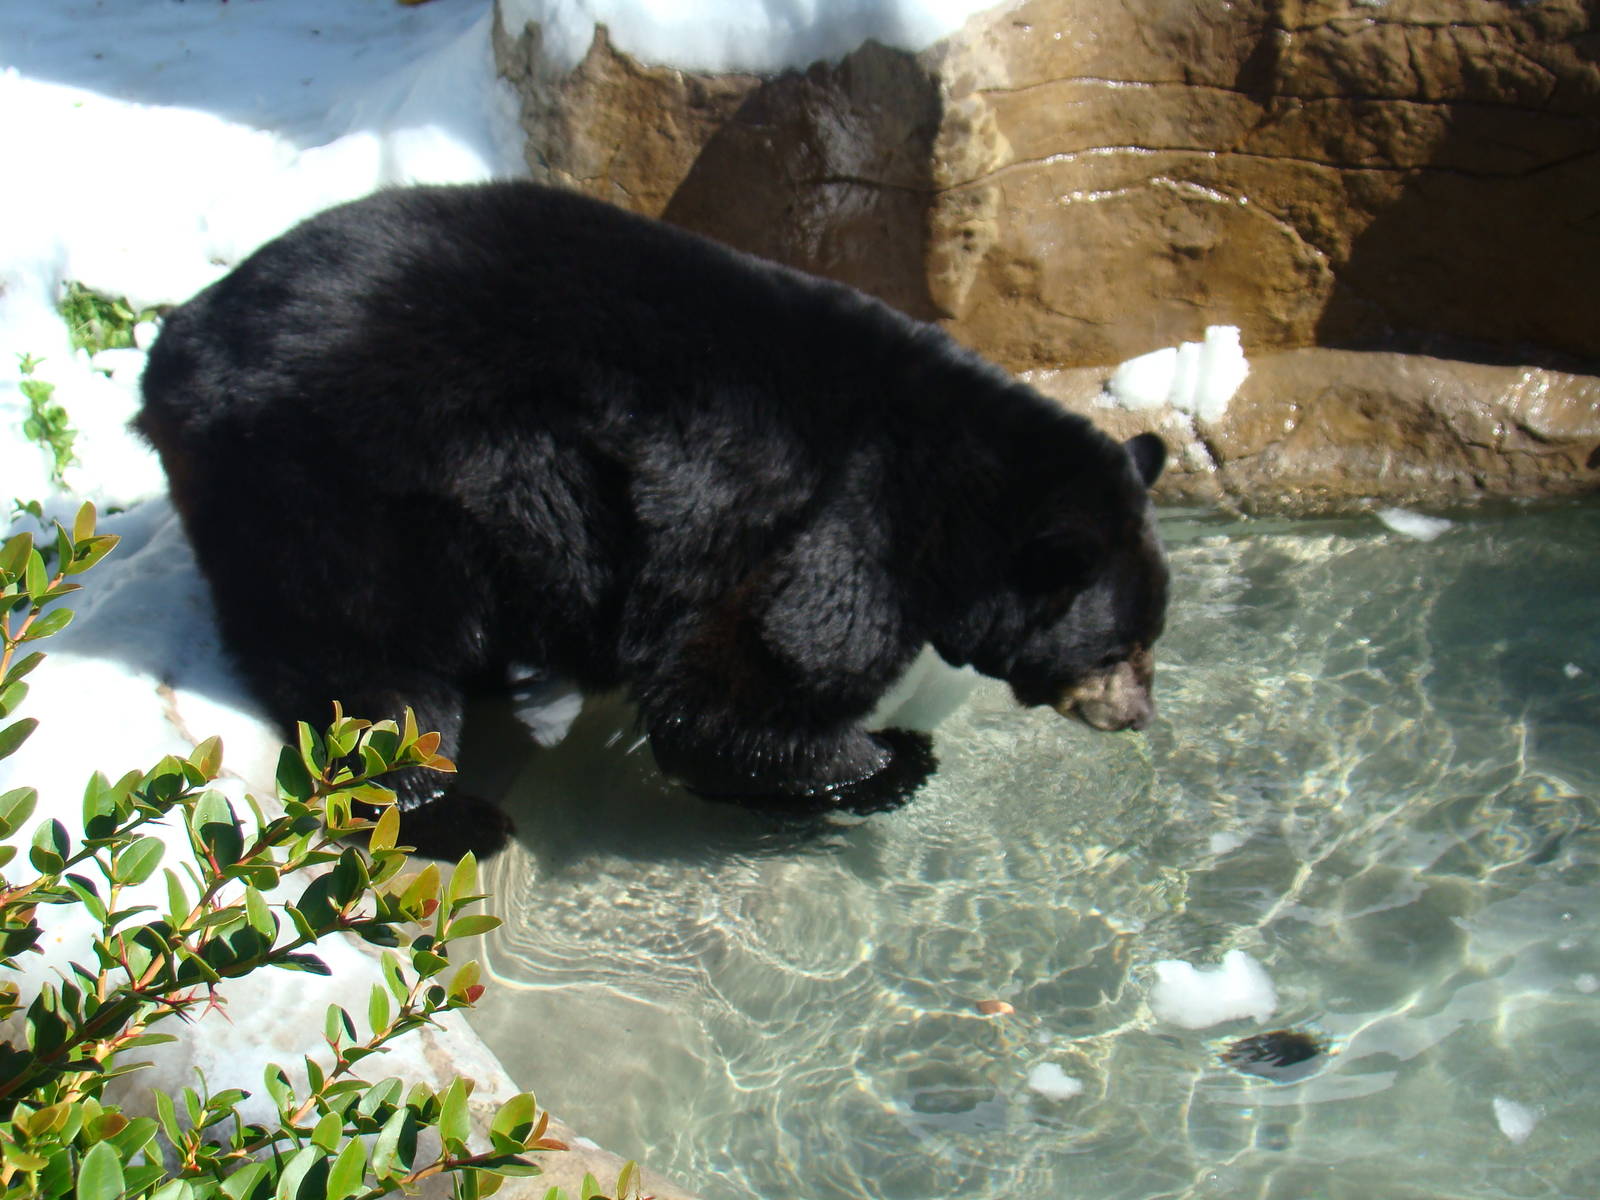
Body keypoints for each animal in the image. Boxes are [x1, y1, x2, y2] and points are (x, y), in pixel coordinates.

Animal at [137, 180, 1168, 856]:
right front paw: (889, 760)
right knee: (372, 671)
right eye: (1120, 647)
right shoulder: (828, 530)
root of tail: (174, 354)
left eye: (1151, 637)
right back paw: (447, 814)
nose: (1140, 714)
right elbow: (737, 688)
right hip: (346, 484)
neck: (956, 498)